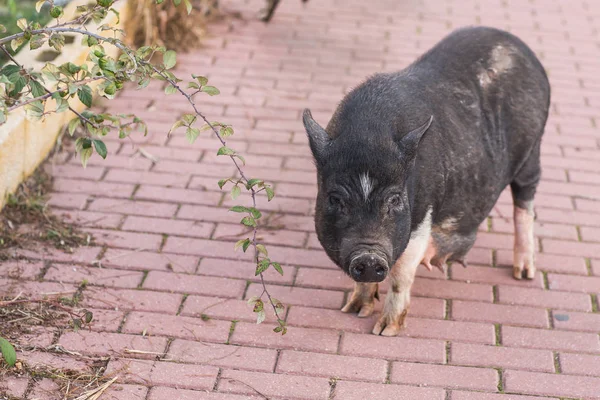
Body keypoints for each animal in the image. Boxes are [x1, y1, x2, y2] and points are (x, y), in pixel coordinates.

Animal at [302, 26, 552, 336]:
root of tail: (519, 45)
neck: (369, 138)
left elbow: (401, 273)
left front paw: (385, 331)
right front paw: (353, 311)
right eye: (335, 199)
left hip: (532, 152)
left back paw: (524, 273)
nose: (369, 258)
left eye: (395, 199)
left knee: (526, 205)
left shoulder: (422, 216)